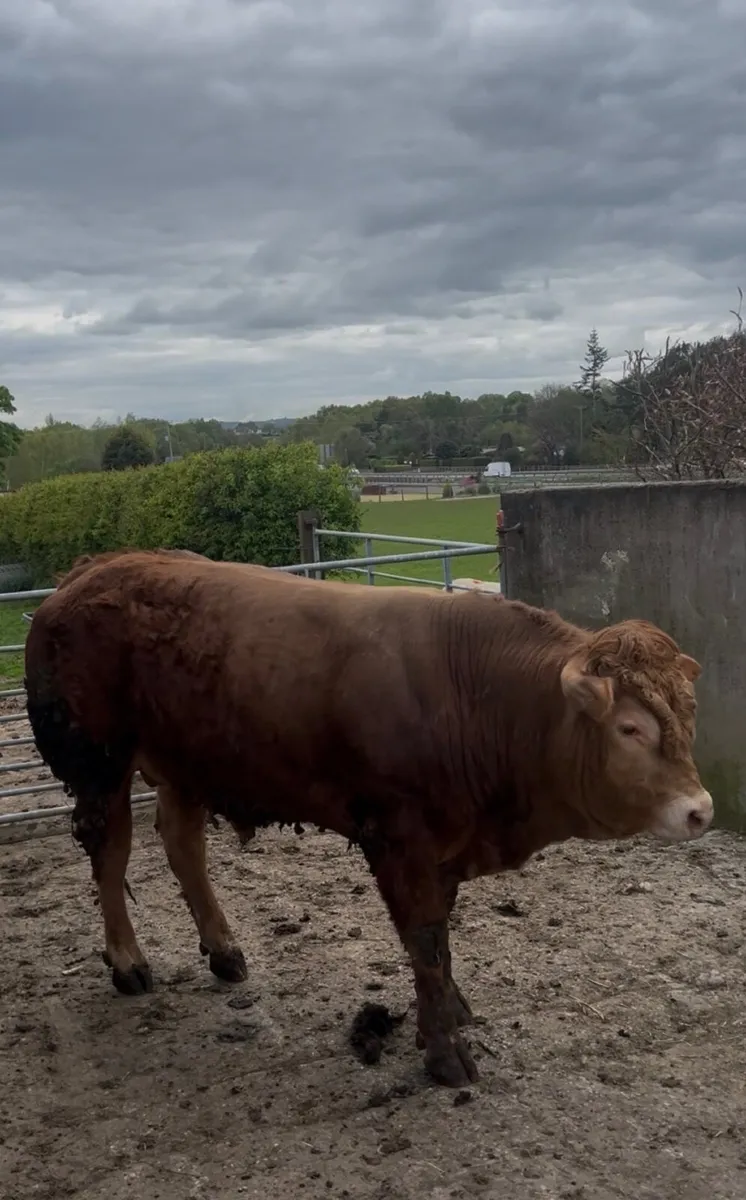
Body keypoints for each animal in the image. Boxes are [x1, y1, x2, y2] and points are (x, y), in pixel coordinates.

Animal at [24, 549, 713, 1088]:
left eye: (688, 713)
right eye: (630, 728)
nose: (699, 809)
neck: (476, 697)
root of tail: (89, 571)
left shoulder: (445, 844)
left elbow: (439, 939)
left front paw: (453, 1011)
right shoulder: (399, 839)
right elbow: (425, 941)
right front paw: (445, 1052)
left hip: (185, 761)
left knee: (182, 845)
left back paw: (223, 951)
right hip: (100, 764)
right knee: (110, 852)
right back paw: (127, 962)